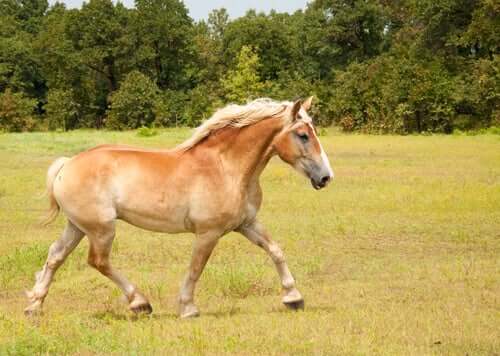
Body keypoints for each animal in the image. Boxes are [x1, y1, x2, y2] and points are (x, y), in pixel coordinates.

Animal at [26, 96, 332, 318]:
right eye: (303, 135)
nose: (325, 178)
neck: (226, 167)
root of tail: (67, 164)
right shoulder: (208, 233)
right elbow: (196, 268)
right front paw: (188, 308)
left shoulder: (246, 224)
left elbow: (275, 250)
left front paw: (293, 297)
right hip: (101, 229)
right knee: (98, 261)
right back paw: (140, 303)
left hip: (78, 226)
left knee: (55, 256)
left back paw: (34, 305)